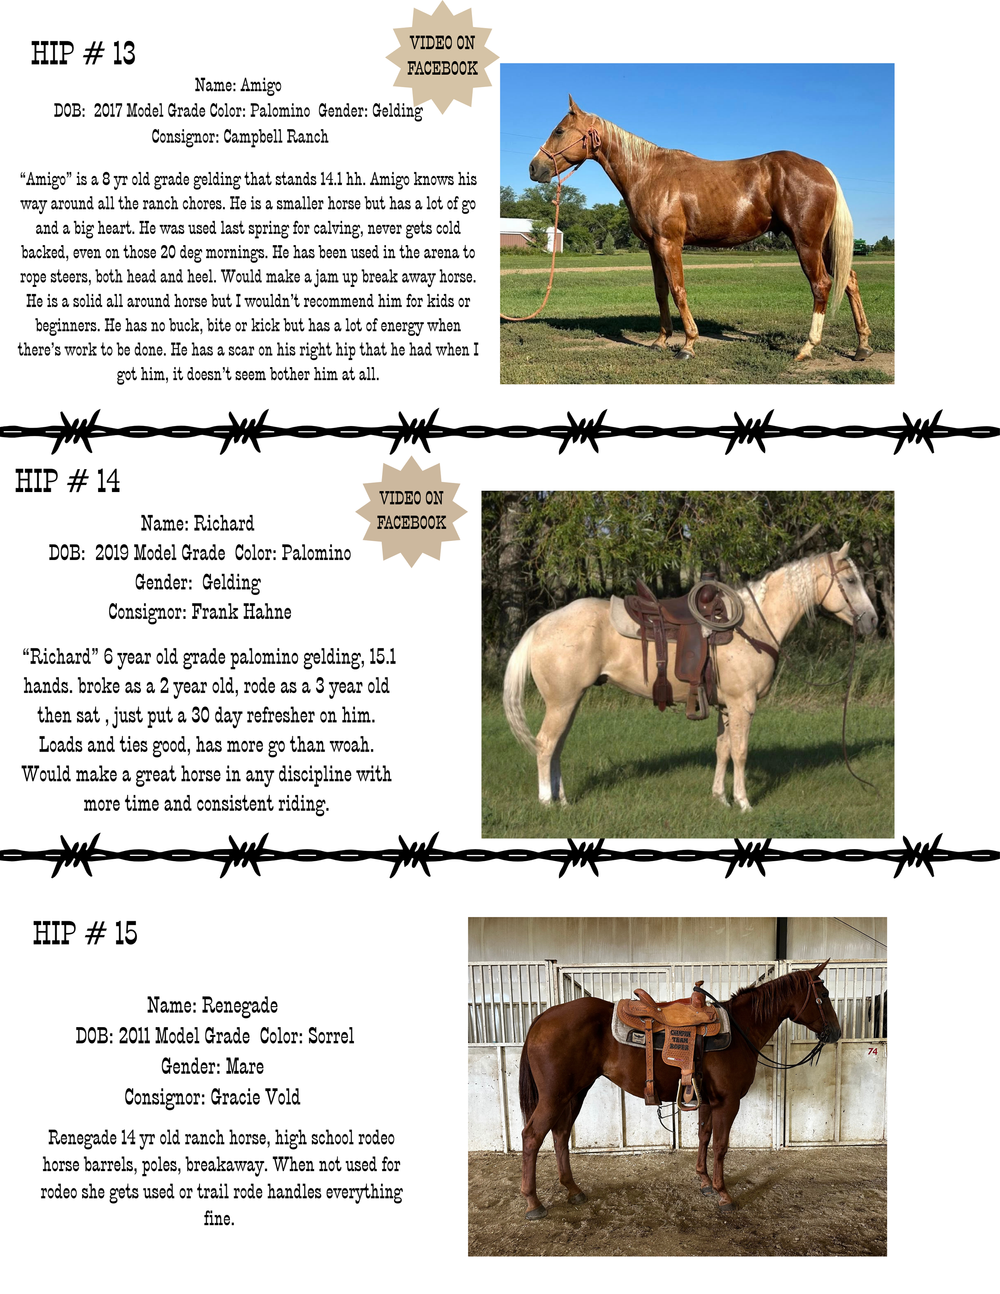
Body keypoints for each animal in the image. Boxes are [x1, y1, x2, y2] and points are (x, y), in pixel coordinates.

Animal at [503, 543, 878, 811]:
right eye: (850, 581)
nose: (873, 621)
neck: (754, 626)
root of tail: (541, 625)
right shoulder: (743, 705)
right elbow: (740, 752)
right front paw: (744, 803)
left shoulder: (727, 706)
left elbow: (723, 750)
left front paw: (721, 798)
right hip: (562, 702)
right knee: (545, 744)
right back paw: (546, 802)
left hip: (571, 701)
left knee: (557, 746)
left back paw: (563, 802)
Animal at [518, 961, 842, 1218]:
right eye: (824, 996)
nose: (836, 1033)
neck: (740, 1031)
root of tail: (542, 1018)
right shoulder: (728, 1102)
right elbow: (721, 1146)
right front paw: (723, 1194)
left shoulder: (708, 1101)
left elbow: (704, 1137)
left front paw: (705, 1182)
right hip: (555, 1096)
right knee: (532, 1137)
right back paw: (533, 1203)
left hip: (575, 1093)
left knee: (560, 1135)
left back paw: (573, 1190)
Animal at [528, 96, 874, 363]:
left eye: (559, 130)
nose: (534, 168)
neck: (648, 173)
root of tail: (823, 170)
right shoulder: (653, 246)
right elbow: (661, 292)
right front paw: (660, 341)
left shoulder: (670, 243)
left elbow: (678, 290)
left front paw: (688, 345)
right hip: (824, 244)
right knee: (850, 280)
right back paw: (862, 346)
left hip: (806, 243)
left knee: (822, 285)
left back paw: (806, 348)